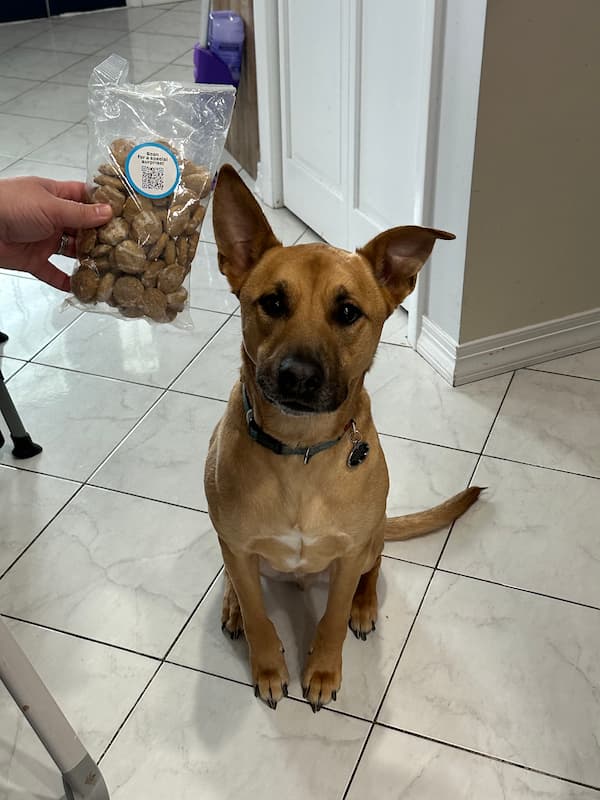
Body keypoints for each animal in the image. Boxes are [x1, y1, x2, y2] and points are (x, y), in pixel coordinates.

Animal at [204, 164, 480, 712]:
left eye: (348, 312)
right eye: (272, 302)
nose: (297, 376)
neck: (300, 451)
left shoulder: (350, 552)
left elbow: (330, 618)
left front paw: (323, 670)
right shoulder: (240, 547)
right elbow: (260, 615)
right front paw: (269, 667)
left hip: (370, 541)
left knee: (375, 567)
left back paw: (365, 606)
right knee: (235, 581)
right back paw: (232, 608)